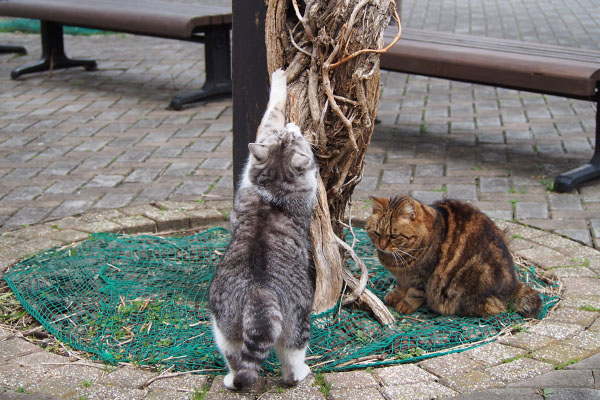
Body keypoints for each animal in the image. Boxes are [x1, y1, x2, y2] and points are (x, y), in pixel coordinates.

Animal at [207, 69, 316, 390]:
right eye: (294, 136)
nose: (294, 125)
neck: (273, 185)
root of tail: (260, 294)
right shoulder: (265, 131)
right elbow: (272, 111)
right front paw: (280, 79)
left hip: (223, 327)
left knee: (236, 359)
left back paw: (231, 379)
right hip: (299, 324)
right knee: (291, 363)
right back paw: (300, 373)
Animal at [366, 196, 544, 318]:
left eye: (394, 236)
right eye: (376, 233)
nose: (382, 245)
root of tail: (512, 286)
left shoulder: (422, 276)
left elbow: (414, 293)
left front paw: (405, 304)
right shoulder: (404, 277)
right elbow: (402, 286)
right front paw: (396, 295)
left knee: (493, 309)